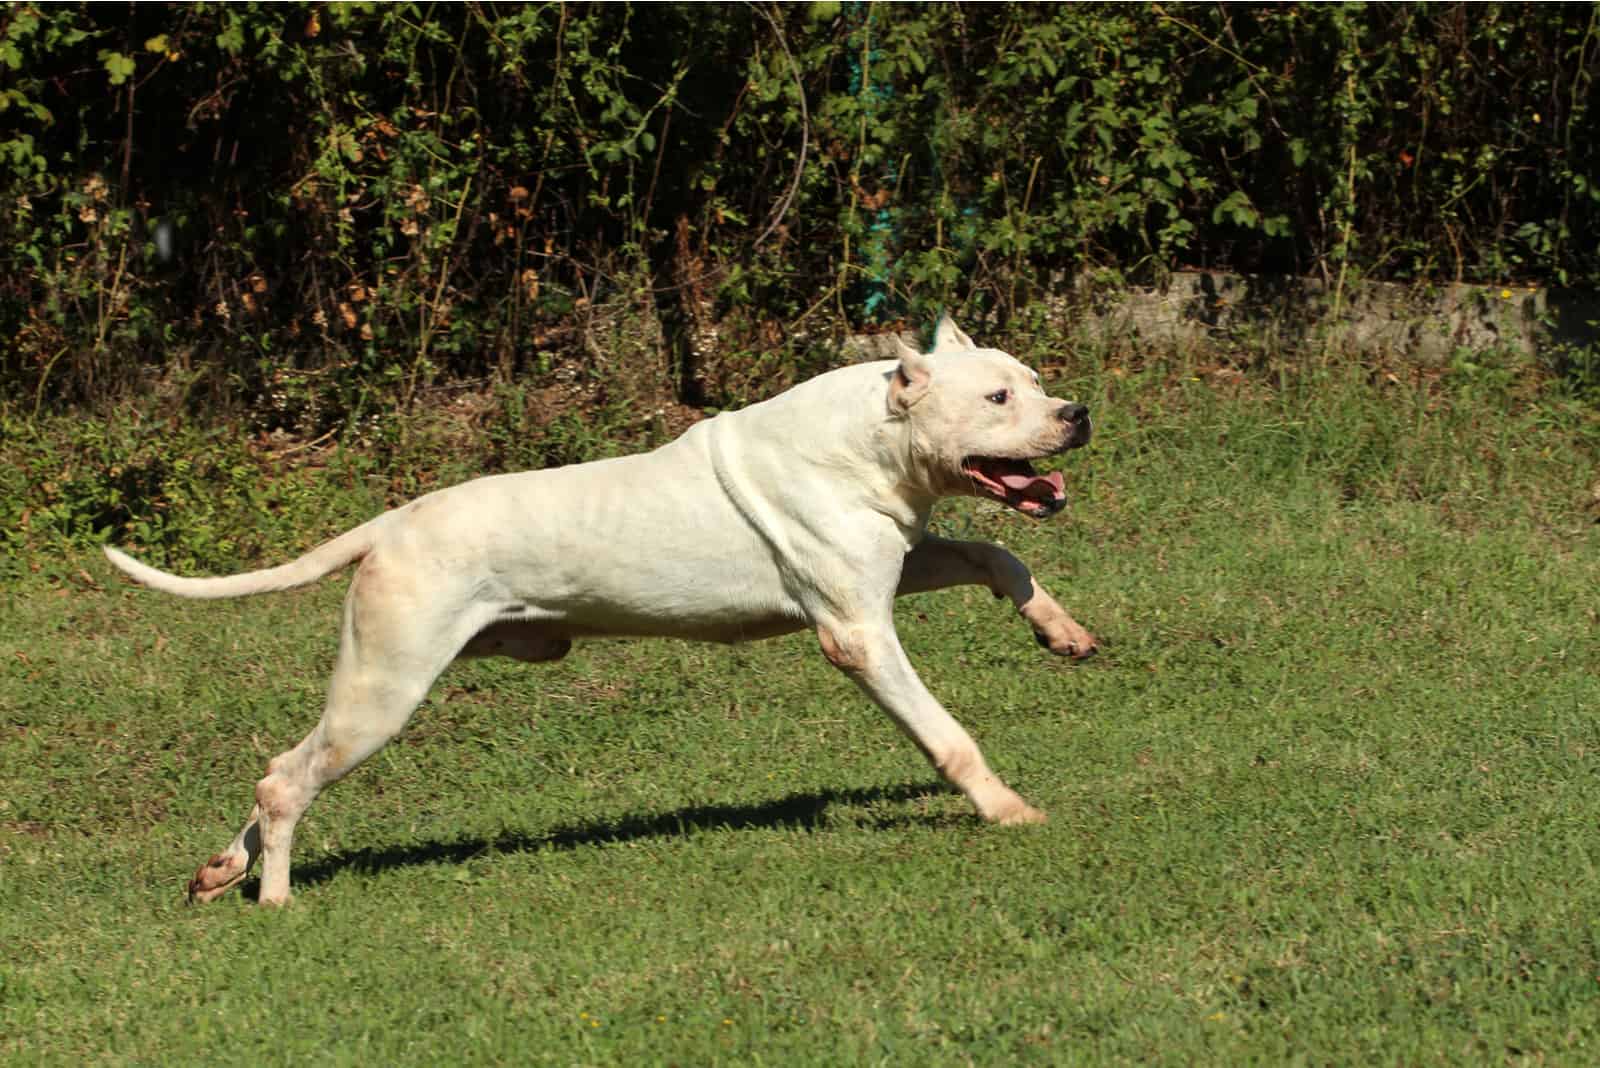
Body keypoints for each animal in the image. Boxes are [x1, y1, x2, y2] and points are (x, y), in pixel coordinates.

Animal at [106, 314, 1094, 901]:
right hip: (384, 689)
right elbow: (946, 734)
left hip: (376, 686)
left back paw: (221, 870)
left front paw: (1059, 630)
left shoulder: (898, 559)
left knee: (282, 766)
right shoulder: (856, 631)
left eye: (1035, 378)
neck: (871, 439)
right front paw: (1007, 810)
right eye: (997, 397)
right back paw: (273, 894)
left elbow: (995, 552)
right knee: (287, 781)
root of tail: (391, 521)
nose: (1076, 413)